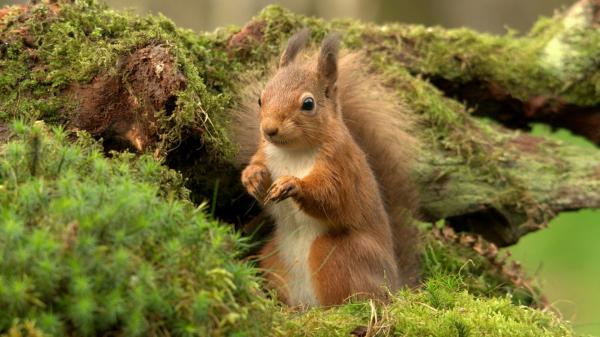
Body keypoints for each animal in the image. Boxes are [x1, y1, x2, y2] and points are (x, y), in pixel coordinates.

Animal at [230, 29, 422, 308]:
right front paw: (252, 177)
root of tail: (393, 284)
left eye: (308, 104)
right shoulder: (265, 152)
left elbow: (332, 197)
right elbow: (258, 166)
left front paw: (293, 184)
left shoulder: (340, 165)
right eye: (260, 99)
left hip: (336, 254)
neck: (293, 152)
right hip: (273, 257)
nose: (269, 129)